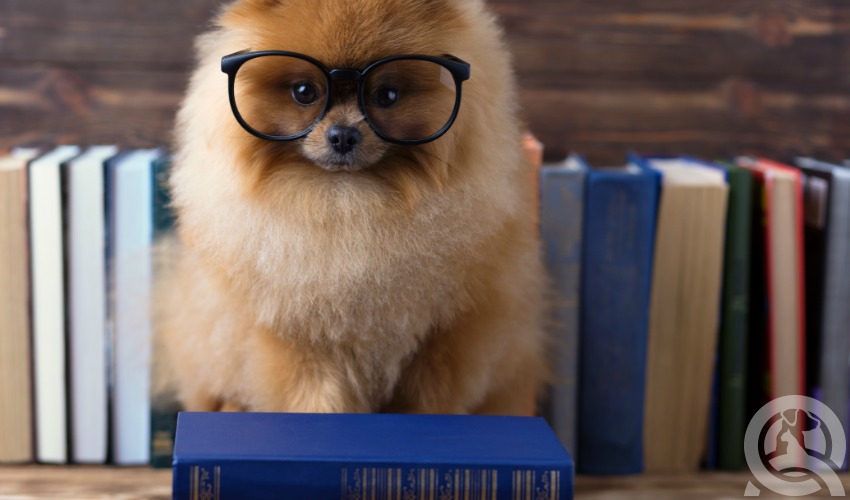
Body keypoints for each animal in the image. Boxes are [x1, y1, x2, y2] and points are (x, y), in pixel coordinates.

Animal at [160, 0, 548, 416]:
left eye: (387, 95)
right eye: (304, 91)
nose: (344, 135)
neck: (349, 206)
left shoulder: (445, 336)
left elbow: (430, 402)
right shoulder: (295, 337)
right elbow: (313, 399)